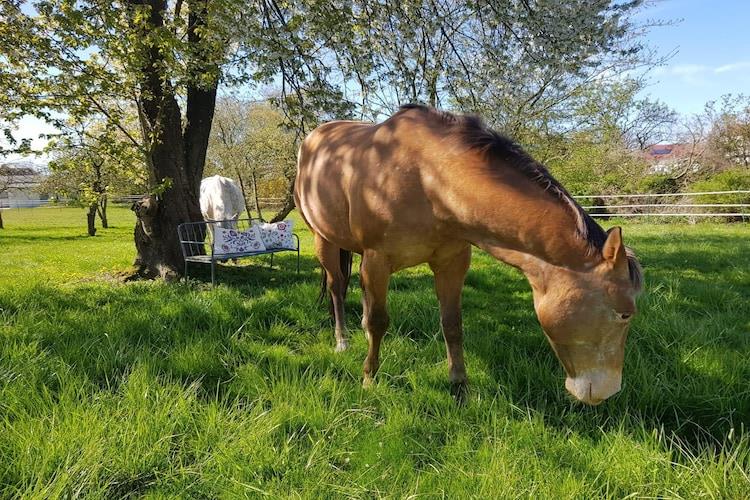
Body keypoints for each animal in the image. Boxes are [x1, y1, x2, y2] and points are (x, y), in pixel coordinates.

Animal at [294, 104, 643, 405]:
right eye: (625, 314)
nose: (607, 392)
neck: (427, 178)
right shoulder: (378, 260)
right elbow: (379, 322)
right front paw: (369, 377)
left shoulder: (452, 262)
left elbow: (452, 324)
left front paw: (460, 386)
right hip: (324, 241)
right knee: (337, 288)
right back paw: (341, 340)